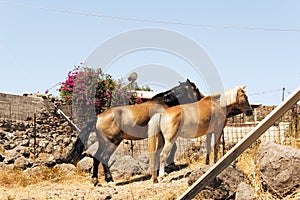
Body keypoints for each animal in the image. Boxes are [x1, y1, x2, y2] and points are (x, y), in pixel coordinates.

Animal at [64, 79, 205, 184]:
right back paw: (110, 180)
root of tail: (98, 117)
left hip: (104, 142)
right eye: (196, 89)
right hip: (113, 142)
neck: (165, 103)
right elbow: (169, 149)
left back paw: (96, 180)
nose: (203, 98)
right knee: (104, 158)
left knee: (97, 158)